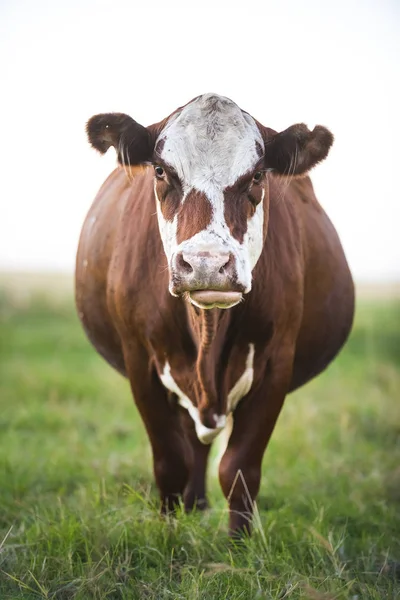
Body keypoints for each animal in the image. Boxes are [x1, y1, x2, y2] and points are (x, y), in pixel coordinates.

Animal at [76, 95, 354, 540]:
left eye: (257, 175)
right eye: (160, 170)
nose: (206, 263)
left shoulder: (276, 363)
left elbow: (239, 469)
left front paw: (239, 545)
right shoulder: (140, 362)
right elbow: (170, 462)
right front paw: (169, 534)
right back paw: (192, 507)